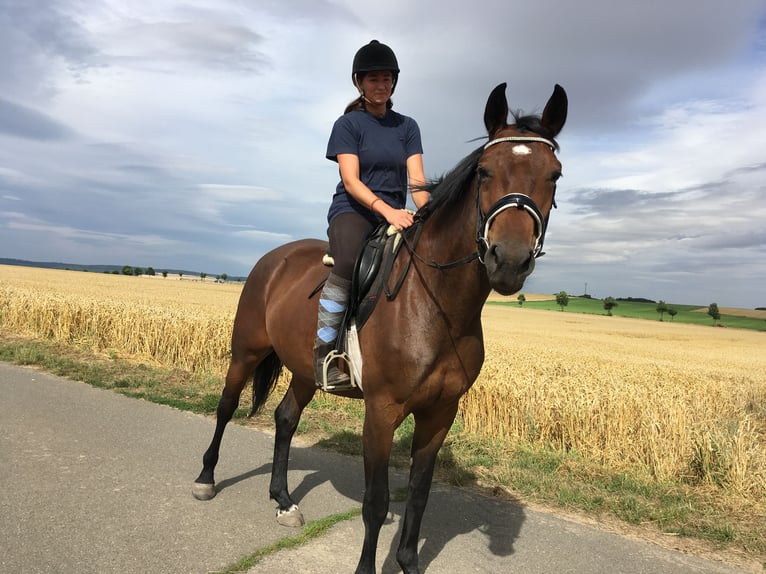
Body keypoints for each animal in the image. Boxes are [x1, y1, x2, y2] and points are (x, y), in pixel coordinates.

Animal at [194, 82, 564, 574]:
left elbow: (420, 495)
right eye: (485, 172)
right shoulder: (382, 411)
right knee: (226, 406)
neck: (437, 305)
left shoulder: (440, 414)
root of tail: (274, 257)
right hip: (245, 351)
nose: (509, 260)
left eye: (555, 175)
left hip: (306, 369)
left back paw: (283, 500)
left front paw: (408, 562)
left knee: (286, 418)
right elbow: (376, 500)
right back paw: (206, 478)